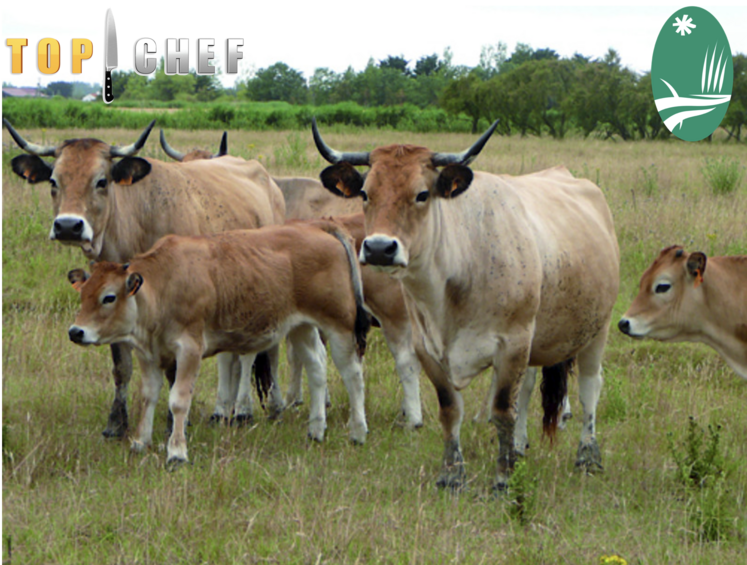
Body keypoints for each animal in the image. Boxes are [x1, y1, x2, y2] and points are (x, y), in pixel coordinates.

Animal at [5, 118, 287, 438]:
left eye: (102, 181)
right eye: (54, 181)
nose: (67, 226)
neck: (138, 221)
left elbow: (174, 372)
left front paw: (173, 424)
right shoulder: (110, 303)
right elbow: (121, 365)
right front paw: (116, 423)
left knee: (258, 351)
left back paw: (252, 410)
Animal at [67, 221, 371, 466]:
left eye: (108, 297)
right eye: (82, 294)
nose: (76, 331)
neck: (164, 283)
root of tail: (316, 226)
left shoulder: (189, 350)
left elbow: (178, 400)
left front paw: (177, 453)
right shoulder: (148, 354)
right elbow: (148, 397)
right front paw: (140, 443)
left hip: (339, 327)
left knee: (352, 374)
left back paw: (357, 432)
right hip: (301, 327)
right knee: (316, 368)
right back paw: (316, 431)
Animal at [312, 119, 620, 490]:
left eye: (422, 194)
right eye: (365, 194)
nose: (379, 248)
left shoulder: (512, 344)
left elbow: (502, 410)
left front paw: (502, 478)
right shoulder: (427, 348)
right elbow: (450, 409)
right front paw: (452, 473)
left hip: (596, 329)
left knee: (590, 387)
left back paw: (587, 455)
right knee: (529, 387)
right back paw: (520, 446)